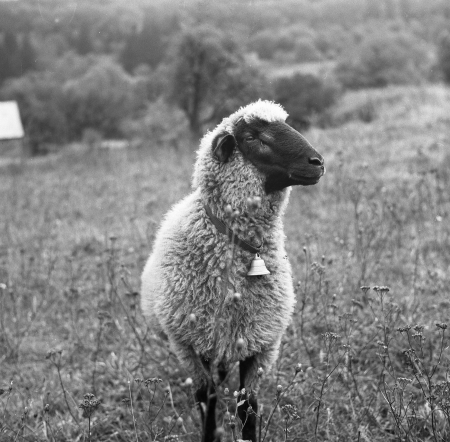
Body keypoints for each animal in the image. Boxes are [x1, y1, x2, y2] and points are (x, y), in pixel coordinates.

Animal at [141, 100, 324, 442]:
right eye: (252, 138)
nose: (318, 163)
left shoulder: (261, 344)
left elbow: (248, 405)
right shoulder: (189, 343)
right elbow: (206, 397)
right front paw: (210, 434)